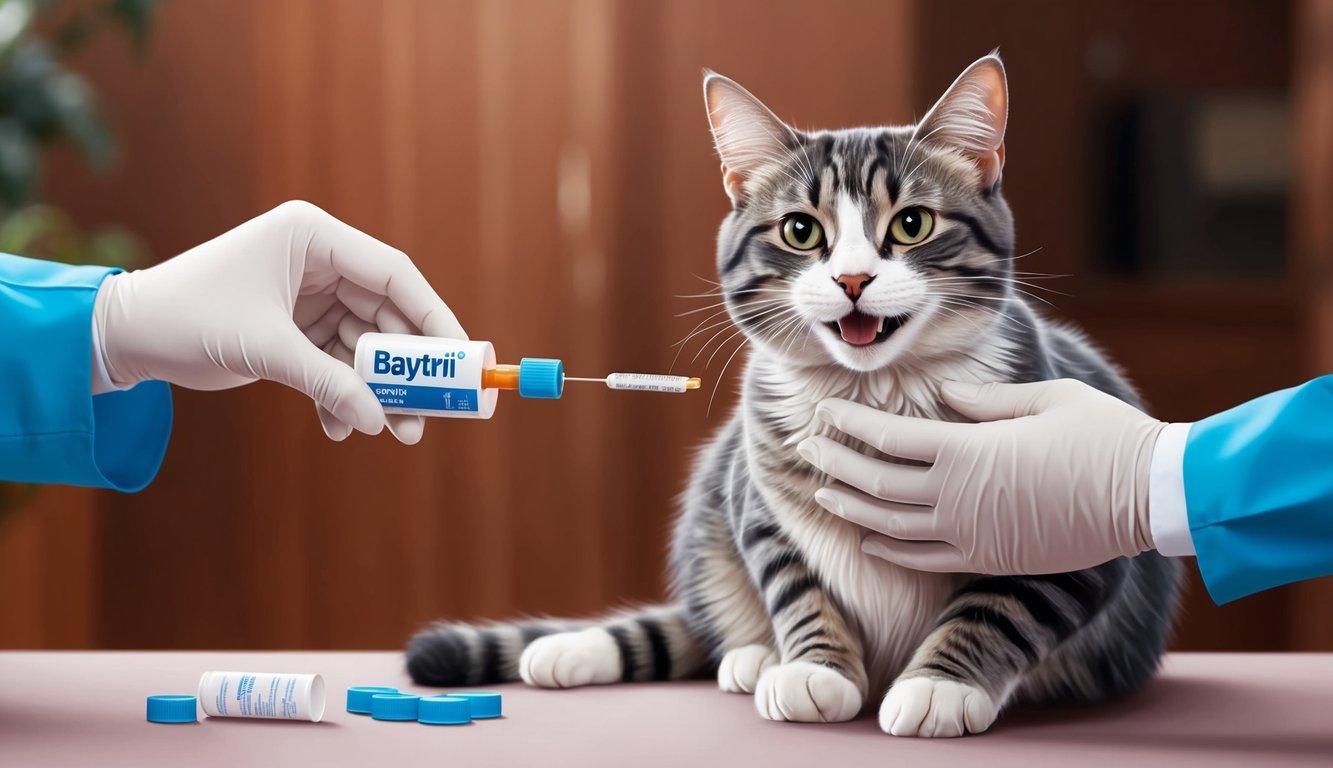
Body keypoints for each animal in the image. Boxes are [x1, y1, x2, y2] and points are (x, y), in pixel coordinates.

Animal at [402, 54, 1178, 736]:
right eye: (801, 231)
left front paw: (939, 684)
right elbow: (795, 585)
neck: (875, 395)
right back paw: (729, 656)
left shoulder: (1066, 529)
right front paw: (814, 668)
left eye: (912, 224)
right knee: (705, 623)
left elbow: (1000, 605)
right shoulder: (756, 499)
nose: (853, 279)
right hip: (711, 511)